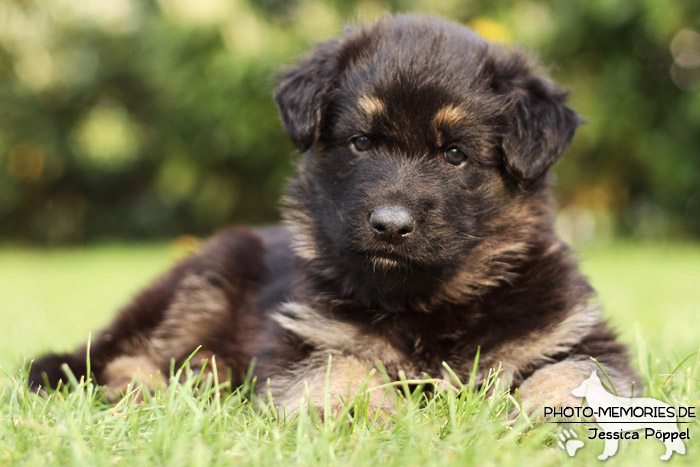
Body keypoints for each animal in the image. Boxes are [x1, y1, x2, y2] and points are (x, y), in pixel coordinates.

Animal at [27, 14, 640, 414]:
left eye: (455, 154)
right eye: (361, 142)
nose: (390, 226)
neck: (428, 302)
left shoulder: (572, 333)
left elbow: (573, 373)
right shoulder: (306, 335)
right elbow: (339, 368)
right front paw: (358, 416)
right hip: (207, 276)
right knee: (114, 355)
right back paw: (154, 386)